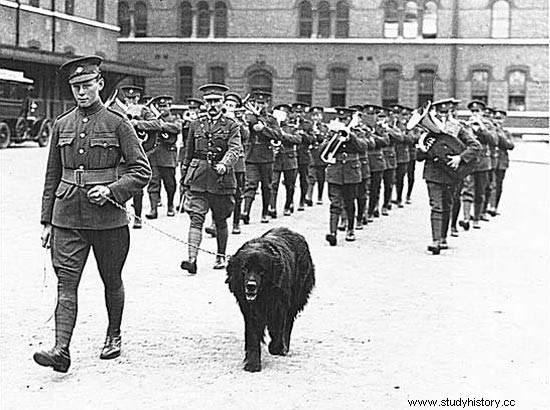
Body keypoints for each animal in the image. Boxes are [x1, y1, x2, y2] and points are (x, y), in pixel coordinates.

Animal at [227, 227, 314, 372]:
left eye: (261, 271)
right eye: (244, 269)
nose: (251, 286)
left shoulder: (279, 306)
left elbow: (278, 328)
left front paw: (276, 347)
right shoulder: (250, 311)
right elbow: (252, 335)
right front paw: (253, 363)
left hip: (296, 295)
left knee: (288, 323)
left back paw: (283, 347)